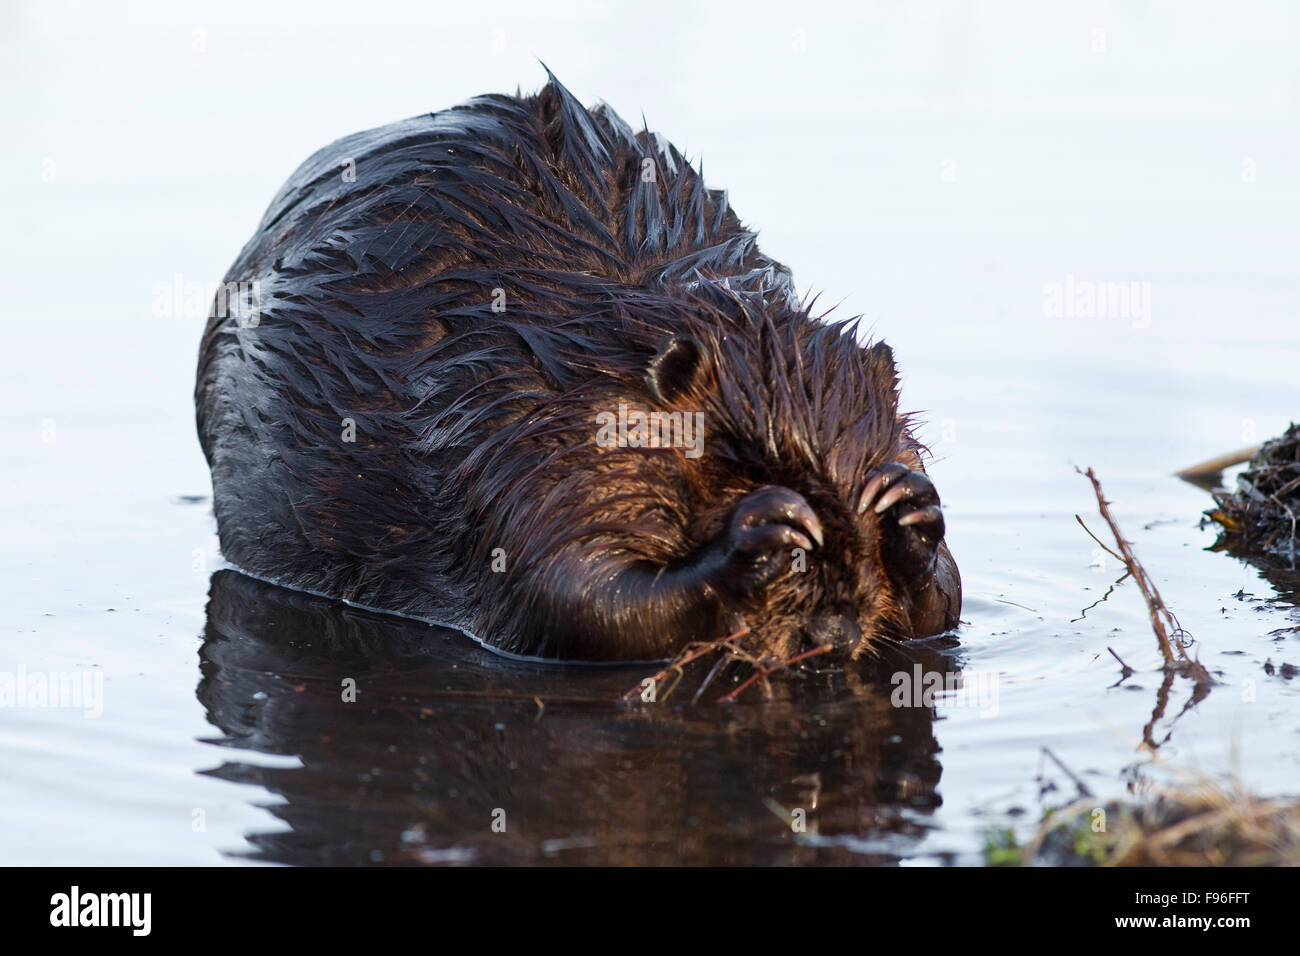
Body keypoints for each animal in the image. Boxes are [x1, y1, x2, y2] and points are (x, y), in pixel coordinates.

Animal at [197, 72, 961, 665]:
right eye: (739, 461)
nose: (833, 633)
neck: (585, 349)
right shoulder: (520, 446)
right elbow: (576, 596)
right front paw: (764, 531)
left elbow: (944, 607)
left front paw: (908, 506)